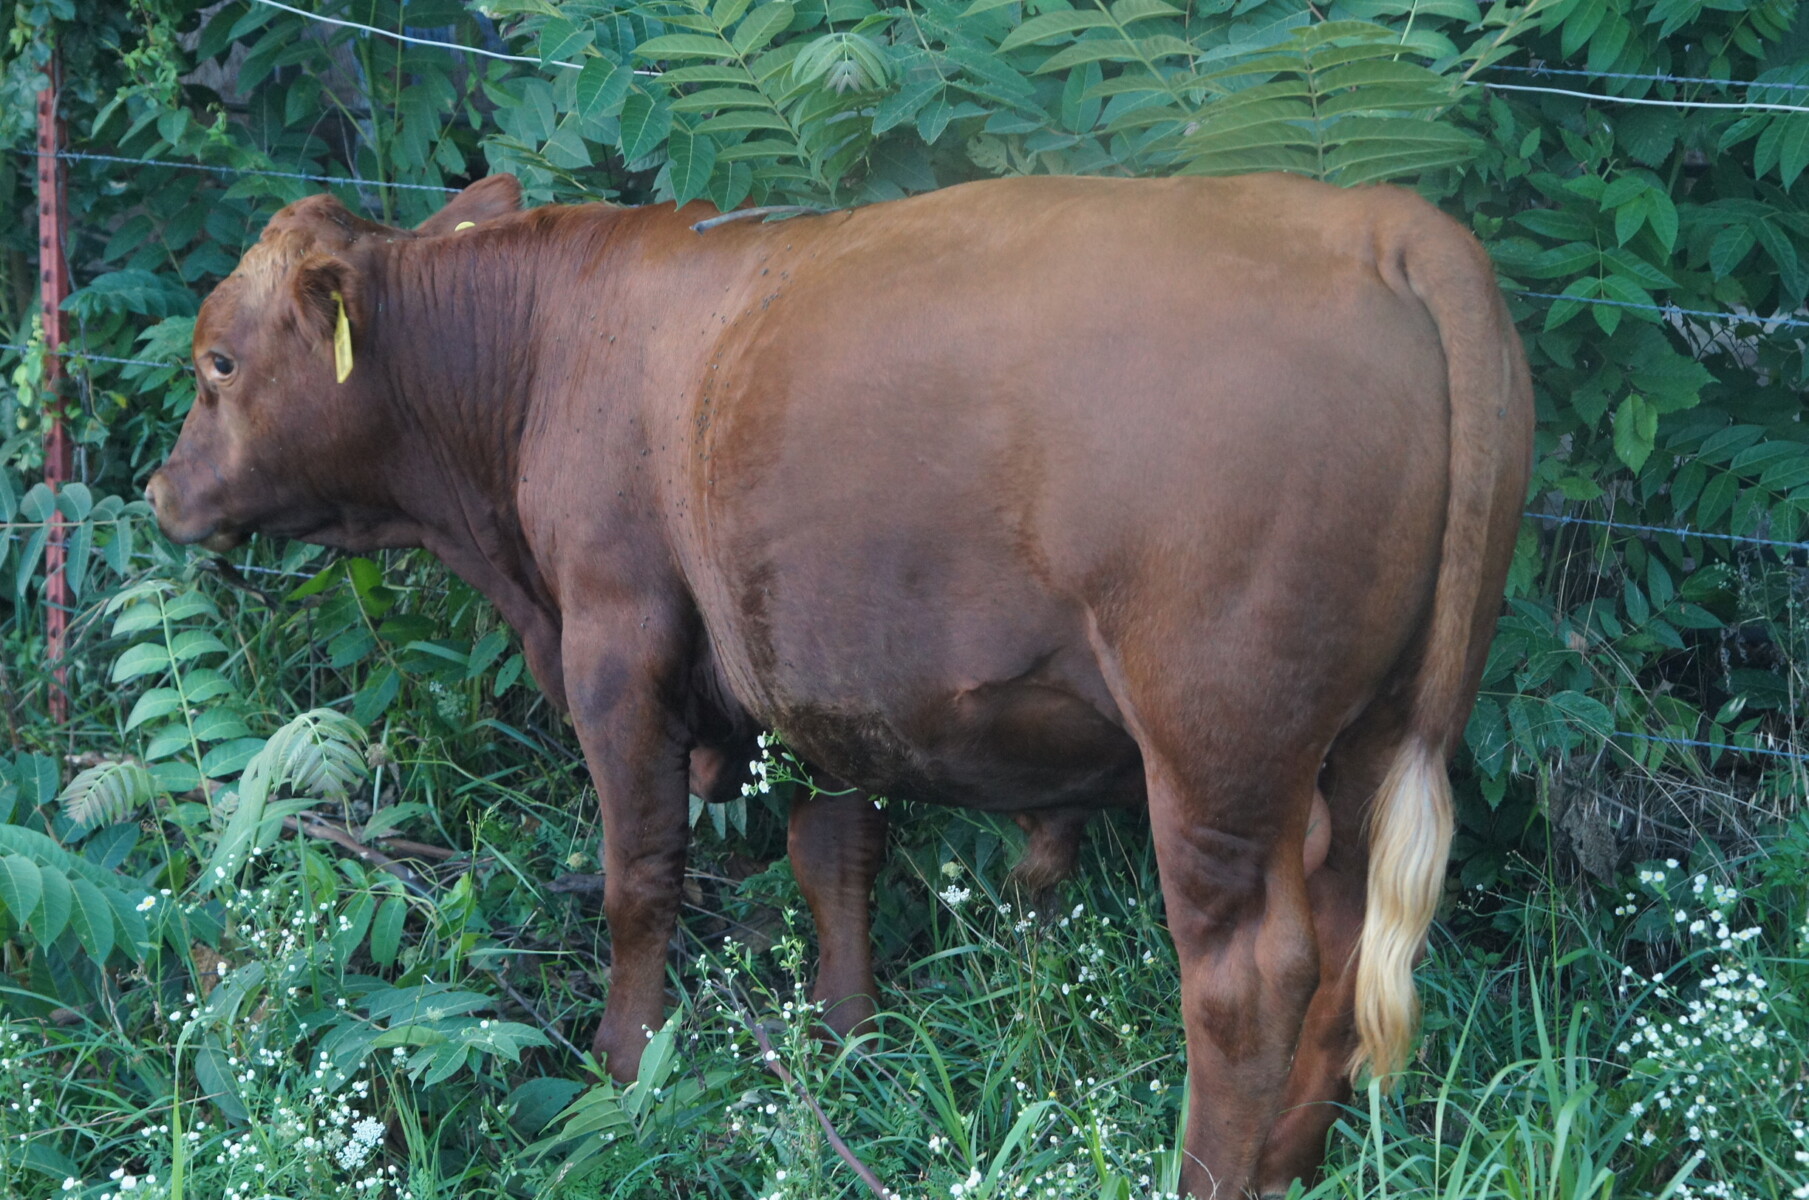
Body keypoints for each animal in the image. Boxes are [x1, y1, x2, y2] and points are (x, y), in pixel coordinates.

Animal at [146, 172, 1532, 1197]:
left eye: (219, 363)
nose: (162, 491)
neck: (545, 348)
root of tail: (1378, 220)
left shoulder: (614, 642)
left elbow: (640, 879)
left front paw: (625, 1067)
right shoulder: (808, 673)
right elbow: (836, 856)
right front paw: (848, 1039)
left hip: (1216, 748)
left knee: (1250, 977)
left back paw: (1214, 1177)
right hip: (1368, 735)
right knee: (1347, 943)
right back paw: (1296, 1161)